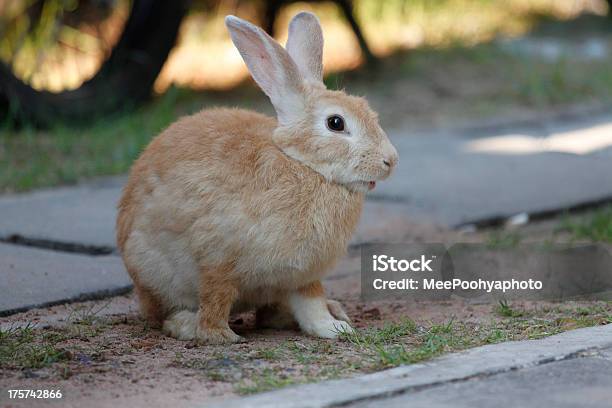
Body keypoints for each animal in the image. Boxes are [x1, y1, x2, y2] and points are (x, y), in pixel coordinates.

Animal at [116, 12, 400, 342]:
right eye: (335, 123)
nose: (390, 161)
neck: (302, 165)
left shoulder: (301, 275)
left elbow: (311, 303)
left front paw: (334, 328)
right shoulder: (217, 260)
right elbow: (215, 299)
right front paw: (219, 336)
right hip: (155, 273)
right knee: (165, 312)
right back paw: (184, 324)